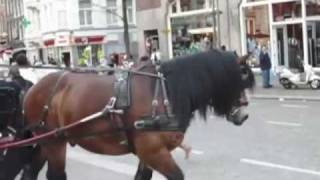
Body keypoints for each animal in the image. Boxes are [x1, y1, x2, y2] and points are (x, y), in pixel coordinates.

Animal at [20, 49, 255, 180]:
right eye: (239, 79)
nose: (244, 115)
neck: (164, 91)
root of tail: (33, 88)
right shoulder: (153, 151)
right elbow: (176, 176)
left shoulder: (148, 153)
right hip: (54, 142)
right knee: (56, 175)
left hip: (46, 141)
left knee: (31, 171)